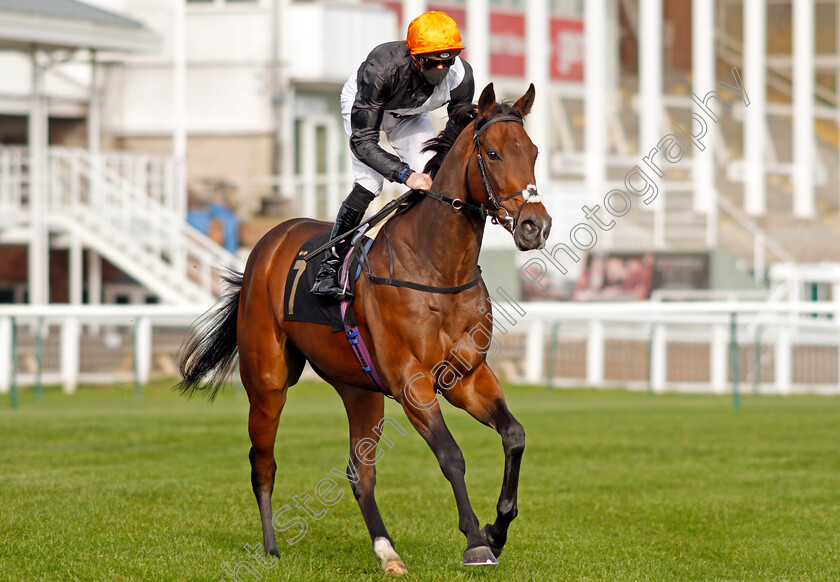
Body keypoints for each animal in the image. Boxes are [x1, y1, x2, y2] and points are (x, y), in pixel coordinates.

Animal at [179, 83, 552, 576]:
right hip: (267, 382)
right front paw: (476, 541)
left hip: (359, 389)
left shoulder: (468, 376)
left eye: (533, 151)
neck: (436, 268)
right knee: (263, 462)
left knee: (361, 472)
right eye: (492, 153)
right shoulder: (411, 381)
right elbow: (451, 455)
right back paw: (271, 547)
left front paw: (497, 529)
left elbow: (515, 436)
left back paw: (387, 551)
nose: (535, 225)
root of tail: (268, 241)